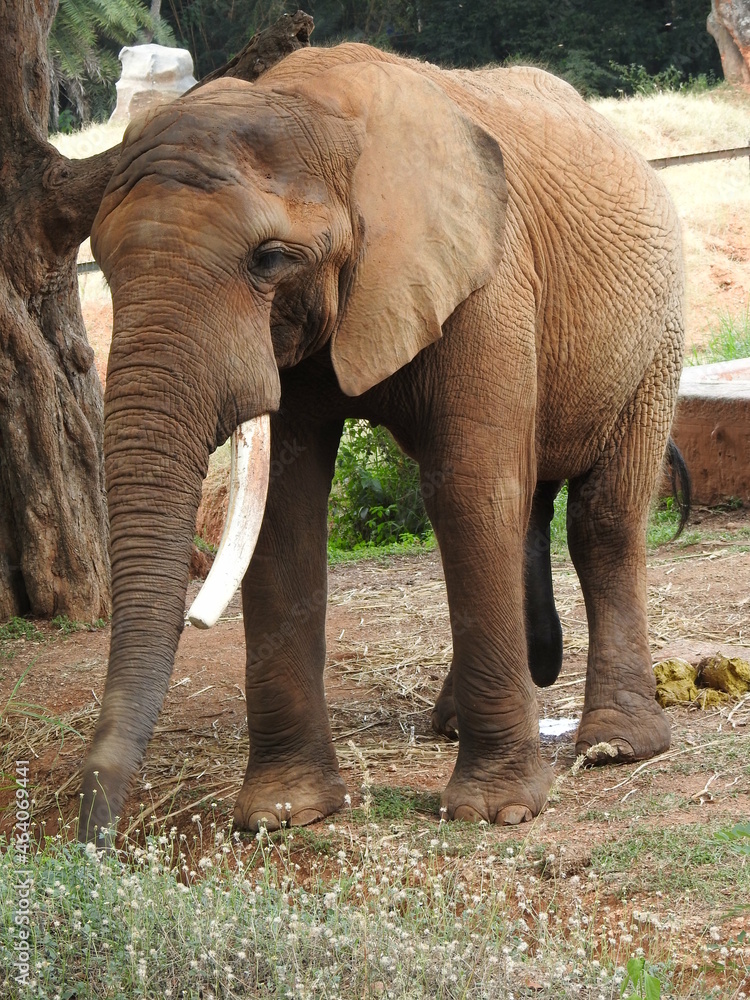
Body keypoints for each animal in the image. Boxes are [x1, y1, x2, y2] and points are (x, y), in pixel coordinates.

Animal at [78, 42, 689, 843]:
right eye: (104, 264)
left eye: (268, 259)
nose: (94, 837)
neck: (309, 105)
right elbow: (285, 509)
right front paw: (284, 814)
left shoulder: (488, 280)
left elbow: (466, 488)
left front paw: (496, 812)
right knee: (528, 503)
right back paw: (460, 719)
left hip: (658, 334)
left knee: (603, 520)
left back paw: (619, 745)